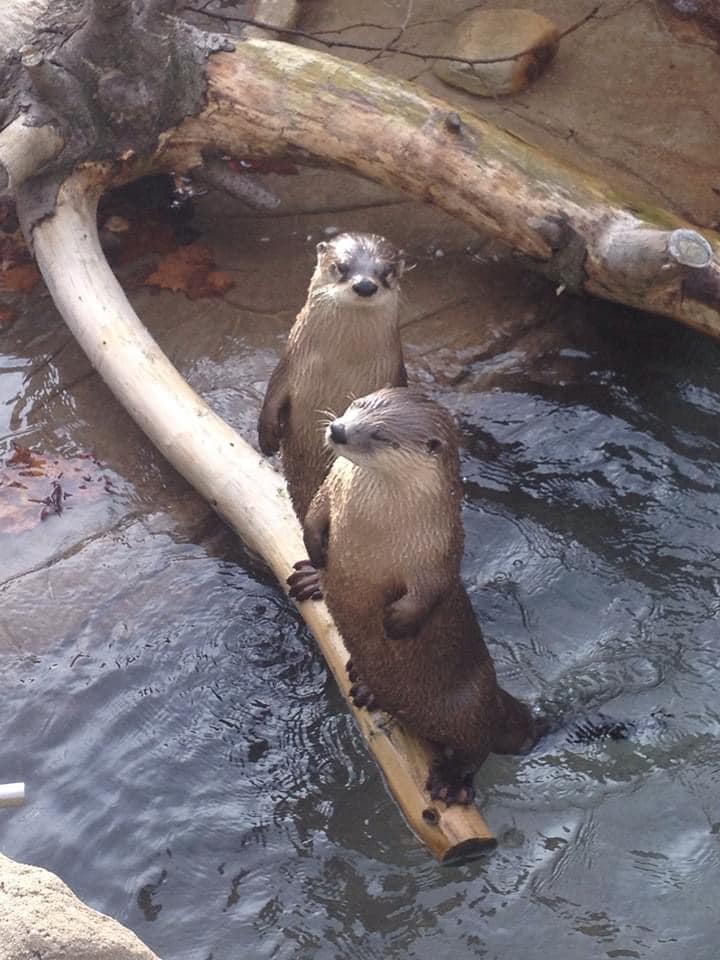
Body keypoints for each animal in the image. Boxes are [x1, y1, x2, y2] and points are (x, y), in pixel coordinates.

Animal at [257, 233, 407, 524]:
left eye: (386, 271)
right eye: (340, 266)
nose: (365, 285)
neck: (342, 366)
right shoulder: (289, 365)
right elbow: (272, 395)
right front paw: (267, 438)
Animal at [288, 387, 536, 805]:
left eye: (380, 435)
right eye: (355, 405)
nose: (338, 430)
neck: (373, 524)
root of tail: (498, 702)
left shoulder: (437, 550)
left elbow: (430, 590)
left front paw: (396, 623)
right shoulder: (332, 489)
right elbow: (313, 514)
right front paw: (317, 556)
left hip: (469, 708)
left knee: (477, 747)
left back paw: (451, 782)